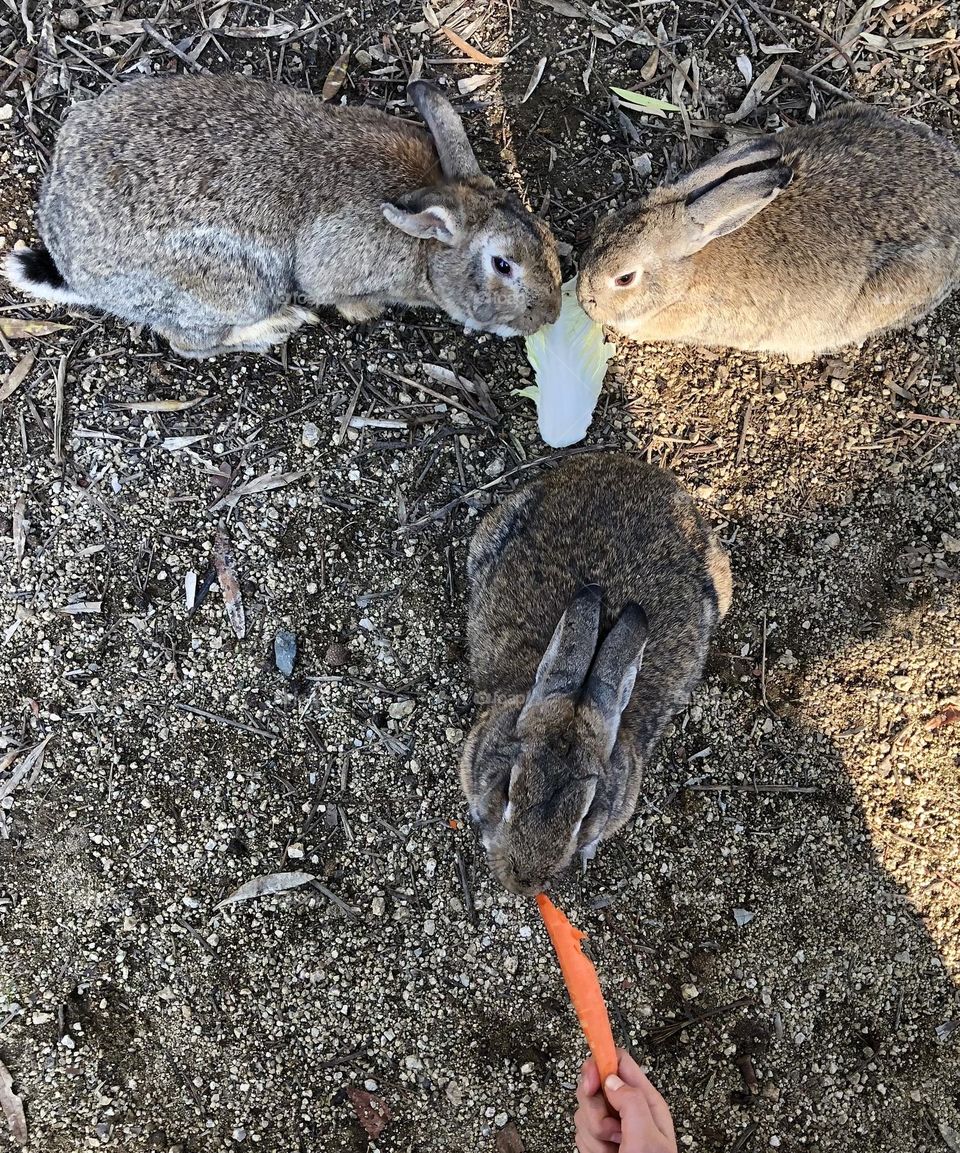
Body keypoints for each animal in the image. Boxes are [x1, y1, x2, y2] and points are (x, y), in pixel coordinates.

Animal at [4, 76, 561, 357]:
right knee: (190, 342)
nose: (550, 317)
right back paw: (280, 325)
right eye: (503, 265)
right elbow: (337, 294)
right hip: (240, 283)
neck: (428, 247)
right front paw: (364, 312)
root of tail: (74, 268)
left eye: (547, 235)